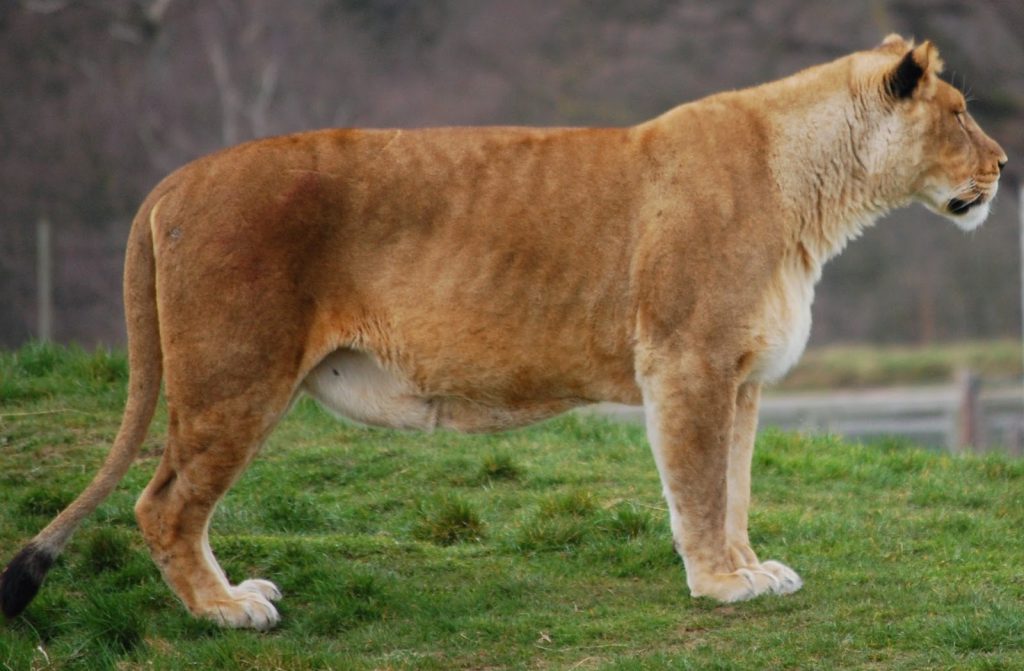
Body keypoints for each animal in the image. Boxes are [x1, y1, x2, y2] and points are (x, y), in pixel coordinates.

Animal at [1, 35, 1006, 630]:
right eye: (960, 113)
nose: (1002, 164)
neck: (818, 194)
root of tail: (174, 180)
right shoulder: (688, 360)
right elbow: (698, 488)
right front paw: (722, 587)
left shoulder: (743, 375)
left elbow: (736, 486)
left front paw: (753, 569)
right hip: (236, 375)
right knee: (163, 502)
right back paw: (226, 610)